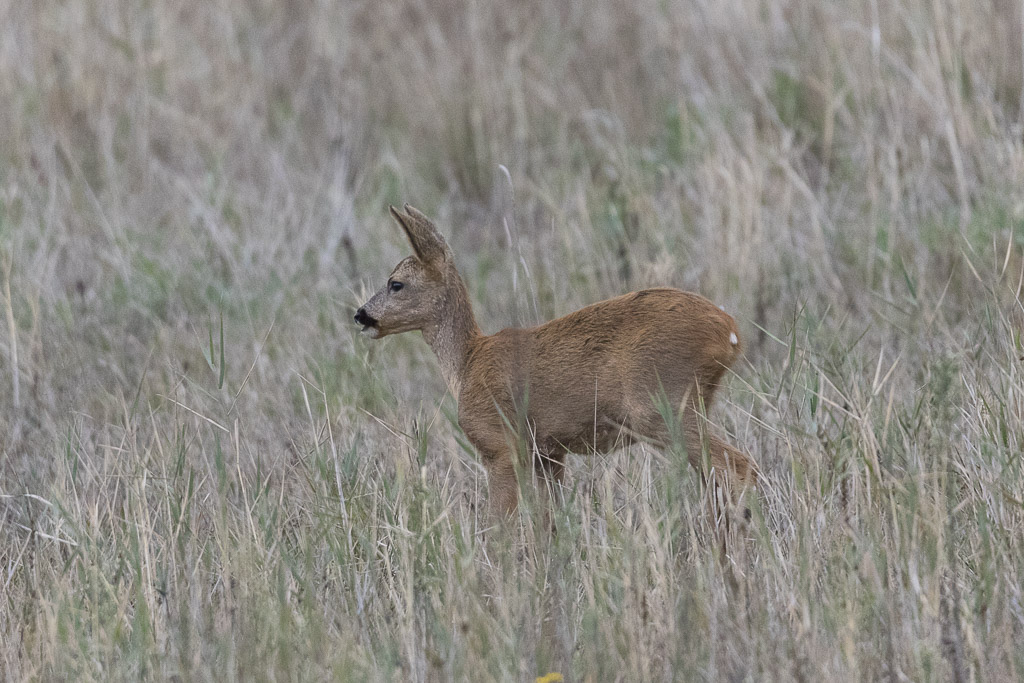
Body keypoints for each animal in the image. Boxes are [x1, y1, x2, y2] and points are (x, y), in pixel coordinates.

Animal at [356, 204, 757, 524]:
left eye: (396, 283)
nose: (361, 315)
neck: (468, 361)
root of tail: (730, 332)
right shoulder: (548, 455)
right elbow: (547, 526)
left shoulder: (501, 445)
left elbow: (498, 527)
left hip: (662, 406)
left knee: (736, 466)